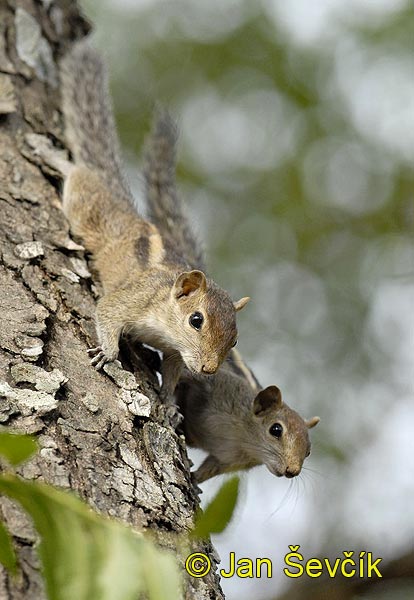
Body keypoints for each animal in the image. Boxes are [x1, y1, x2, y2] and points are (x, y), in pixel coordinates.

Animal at [42, 42, 251, 404]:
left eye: (235, 339)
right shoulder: (133, 299)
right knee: (79, 174)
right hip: (86, 207)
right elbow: (106, 311)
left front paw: (168, 401)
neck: (166, 322)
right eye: (197, 320)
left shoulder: (174, 353)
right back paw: (51, 155)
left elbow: (172, 371)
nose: (209, 369)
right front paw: (107, 353)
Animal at [142, 110, 320, 480]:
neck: (242, 434)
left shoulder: (227, 460)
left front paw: (194, 483)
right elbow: (181, 382)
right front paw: (172, 405)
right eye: (276, 429)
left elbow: (207, 470)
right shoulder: (210, 386)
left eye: (309, 450)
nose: (292, 471)